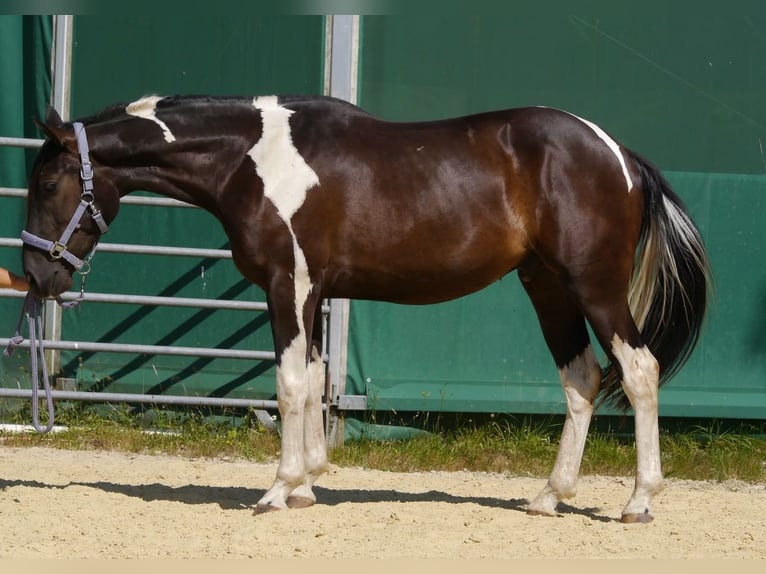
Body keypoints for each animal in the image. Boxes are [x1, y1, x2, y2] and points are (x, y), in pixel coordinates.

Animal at [21, 94, 710, 523]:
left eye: (49, 183)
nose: (35, 274)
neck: (250, 158)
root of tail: (619, 154)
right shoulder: (315, 292)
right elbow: (314, 378)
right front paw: (306, 484)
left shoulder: (288, 285)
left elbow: (289, 384)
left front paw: (277, 489)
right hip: (548, 288)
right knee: (582, 378)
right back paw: (549, 496)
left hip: (592, 286)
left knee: (639, 371)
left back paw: (638, 501)